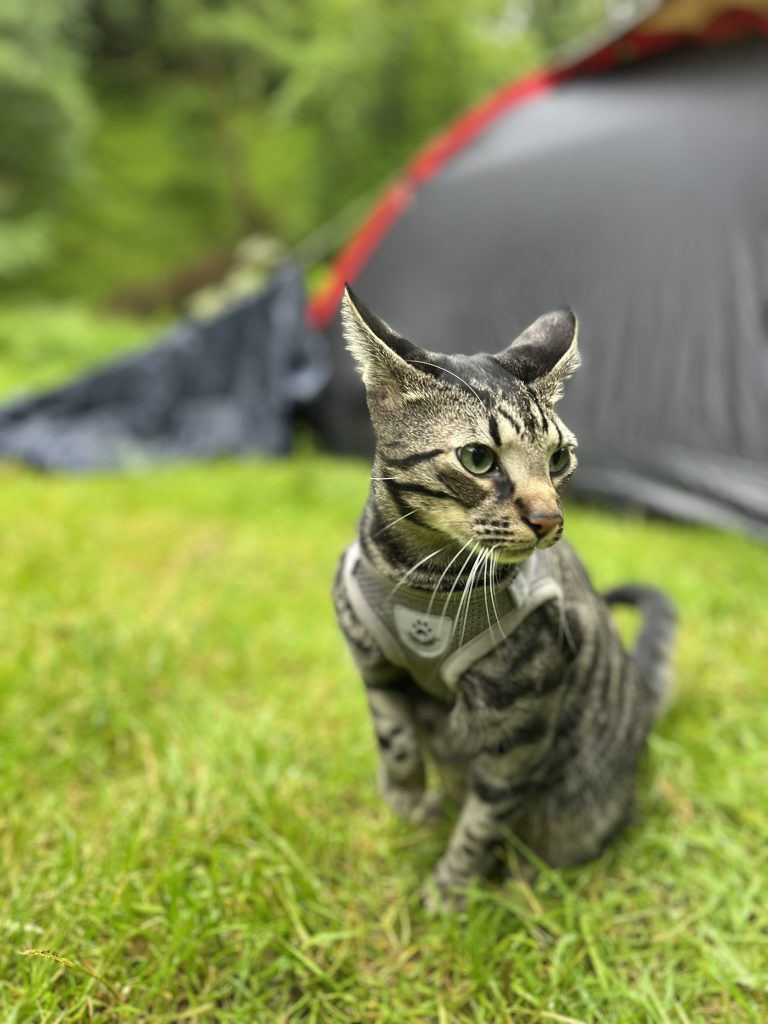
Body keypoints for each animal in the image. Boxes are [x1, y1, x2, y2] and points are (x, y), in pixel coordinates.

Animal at [333, 288, 675, 913]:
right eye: (477, 458)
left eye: (559, 459)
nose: (549, 519)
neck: (424, 579)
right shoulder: (371, 662)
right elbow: (394, 739)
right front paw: (408, 801)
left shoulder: (518, 733)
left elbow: (483, 821)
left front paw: (450, 889)